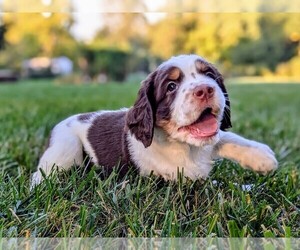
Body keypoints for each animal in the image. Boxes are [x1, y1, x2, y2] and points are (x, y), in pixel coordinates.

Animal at [31, 54, 278, 188]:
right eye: (171, 86)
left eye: (210, 76)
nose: (205, 89)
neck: (185, 147)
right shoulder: (170, 182)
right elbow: (217, 186)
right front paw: (253, 187)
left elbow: (223, 136)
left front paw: (263, 157)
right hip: (67, 148)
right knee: (42, 174)